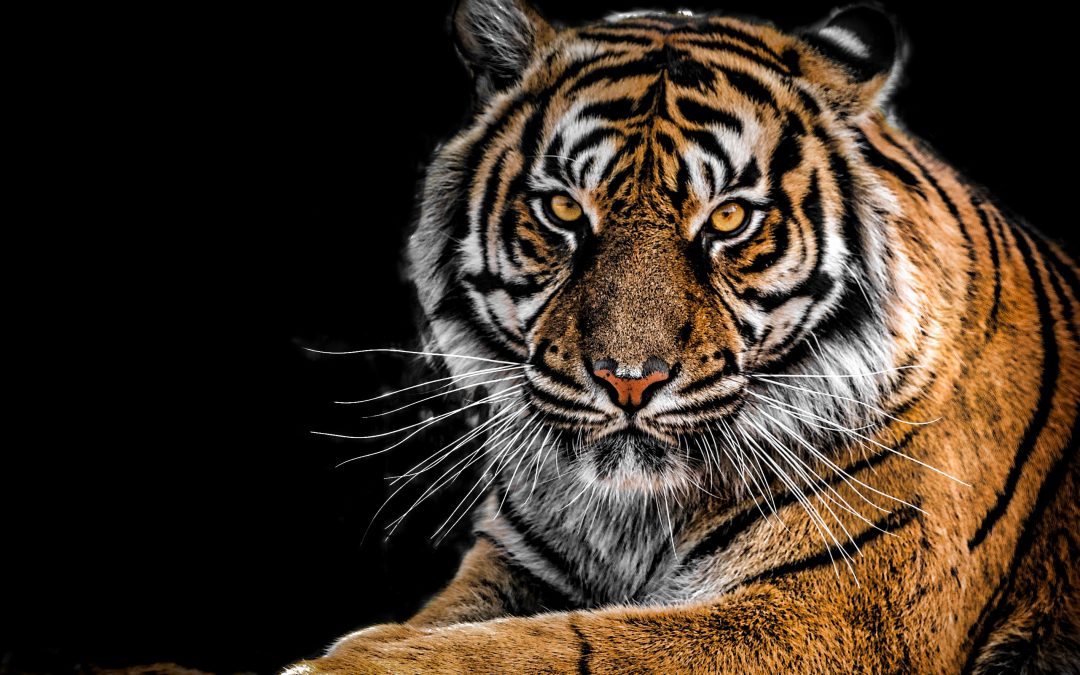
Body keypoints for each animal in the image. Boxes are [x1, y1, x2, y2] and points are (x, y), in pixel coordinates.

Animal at [288, 1, 1080, 672]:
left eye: (729, 218)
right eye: (562, 210)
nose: (628, 380)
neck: (632, 515)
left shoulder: (833, 611)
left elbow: (556, 647)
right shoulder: (515, 562)